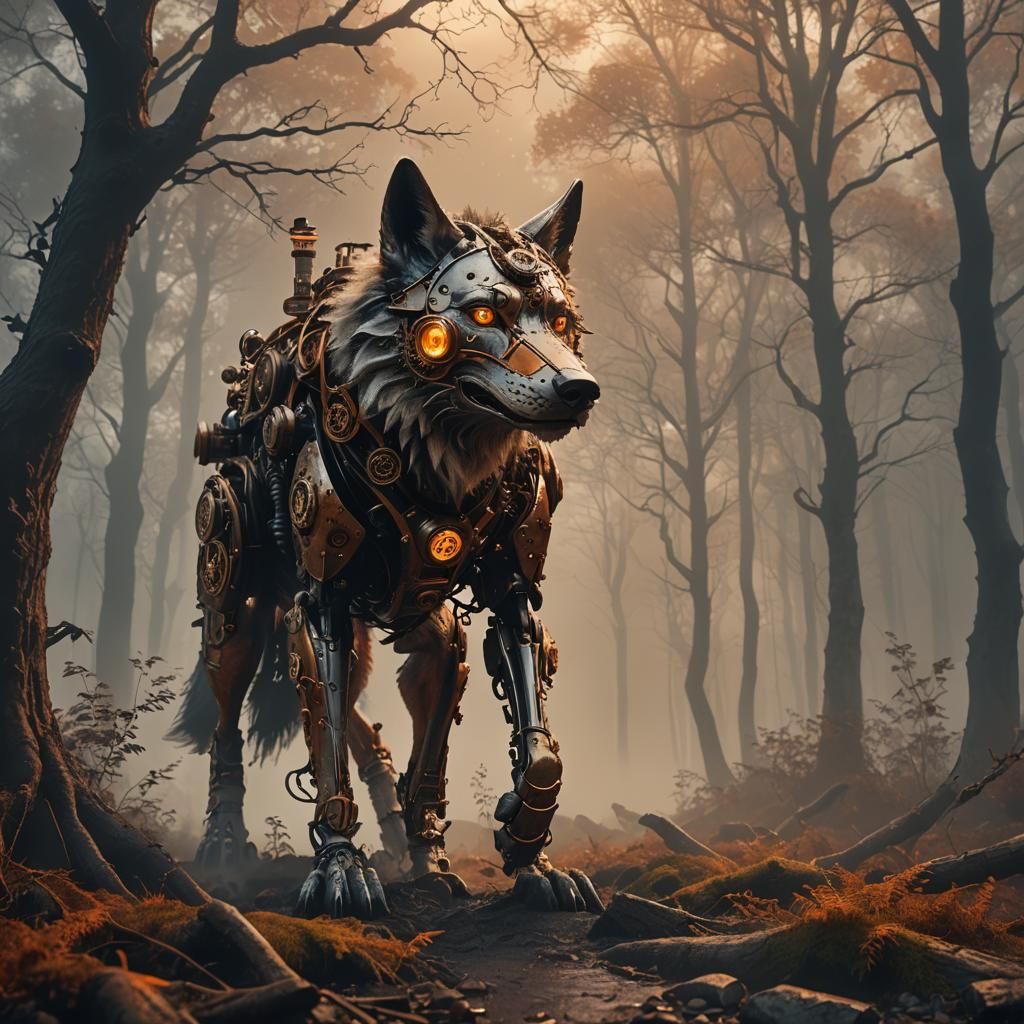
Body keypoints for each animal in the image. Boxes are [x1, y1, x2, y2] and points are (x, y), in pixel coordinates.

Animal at [173, 159, 602, 919]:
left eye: (559, 321)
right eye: (483, 314)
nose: (582, 390)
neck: (438, 457)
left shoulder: (512, 592)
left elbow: (538, 744)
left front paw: (530, 850)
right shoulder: (322, 603)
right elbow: (325, 745)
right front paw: (341, 868)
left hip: (418, 622)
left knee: (417, 700)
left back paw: (421, 850)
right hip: (240, 608)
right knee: (231, 720)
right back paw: (225, 844)